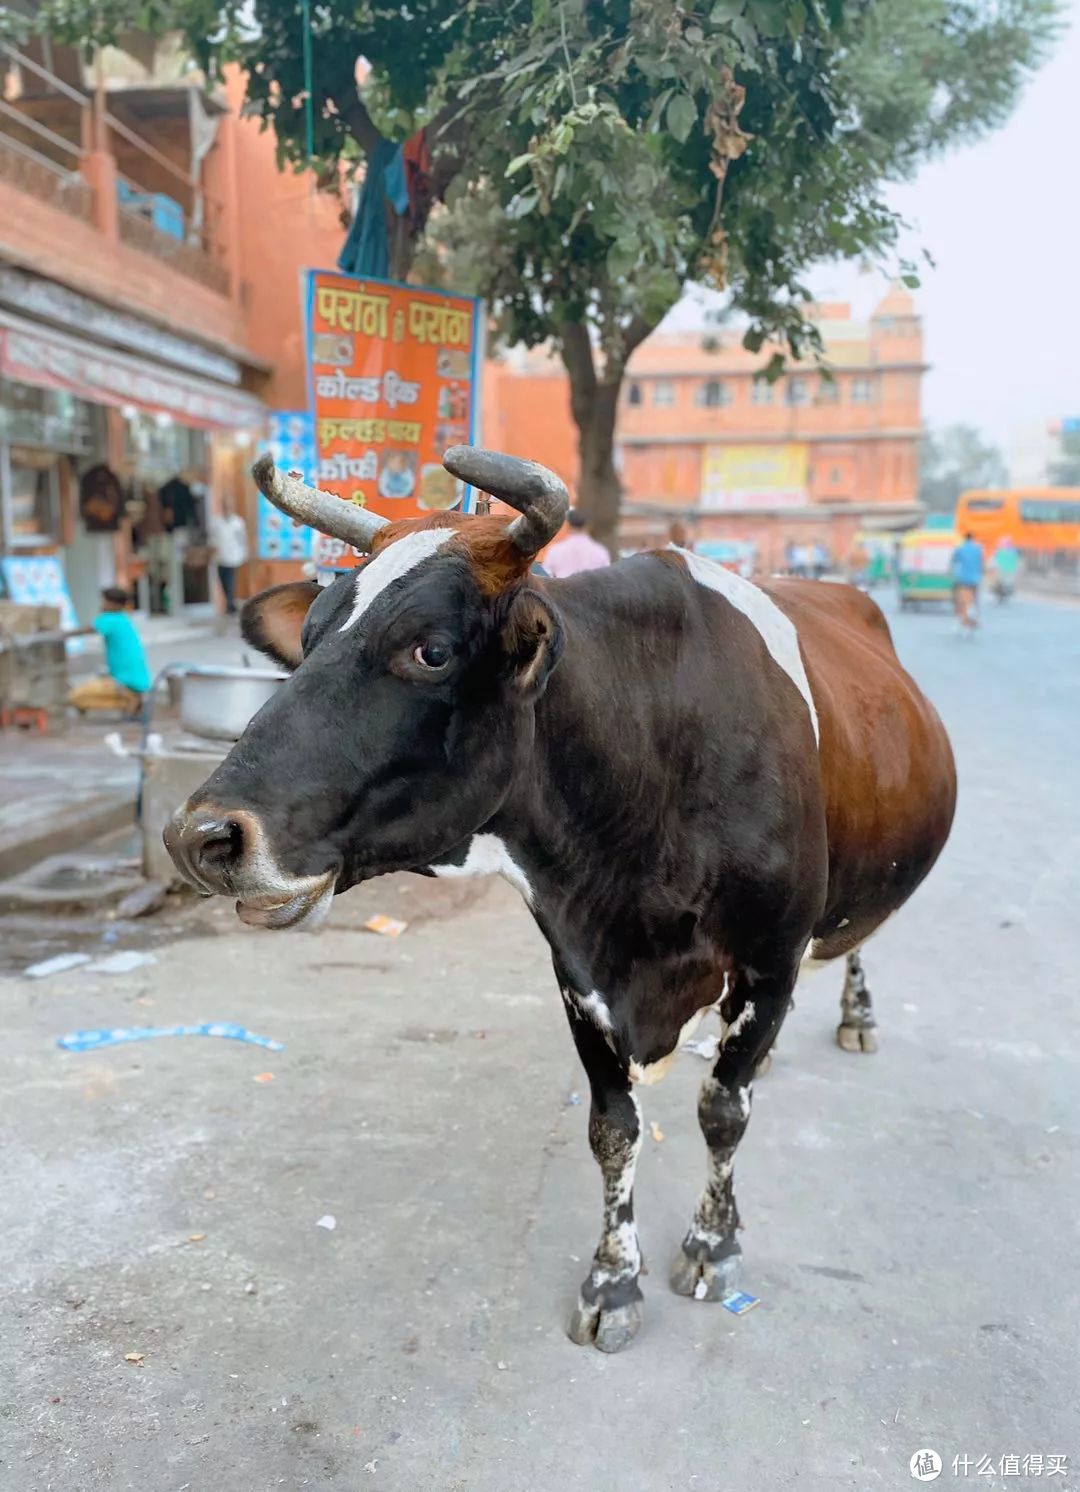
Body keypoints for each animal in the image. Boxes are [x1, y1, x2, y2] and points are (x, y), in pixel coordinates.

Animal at [164, 444, 954, 1354]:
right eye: (313, 637)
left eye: (430, 651)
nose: (200, 836)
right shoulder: (578, 964)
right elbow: (614, 1129)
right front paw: (613, 1281)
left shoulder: (767, 956)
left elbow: (722, 1111)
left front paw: (712, 1244)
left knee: (855, 944)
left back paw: (856, 1015)